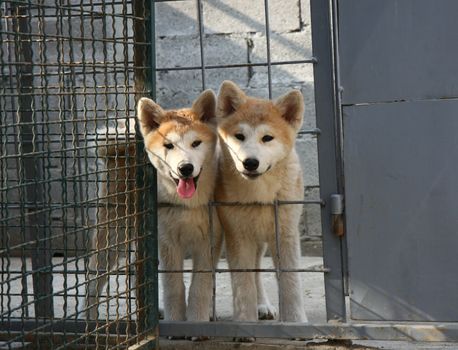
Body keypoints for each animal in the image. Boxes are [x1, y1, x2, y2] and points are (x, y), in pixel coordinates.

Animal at [137, 91, 223, 322]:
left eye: (196, 143)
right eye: (168, 146)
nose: (185, 168)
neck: (188, 204)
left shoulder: (209, 241)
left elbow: (200, 288)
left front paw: (197, 321)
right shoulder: (167, 241)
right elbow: (173, 288)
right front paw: (174, 319)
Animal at [215, 81, 308, 322]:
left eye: (267, 138)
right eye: (239, 136)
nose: (250, 162)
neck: (260, 194)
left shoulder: (285, 234)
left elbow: (291, 284)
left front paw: (297, 321)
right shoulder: (237, 237)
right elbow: (243, 287)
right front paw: (245, 322)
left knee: (257, 269)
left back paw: (263, 305)